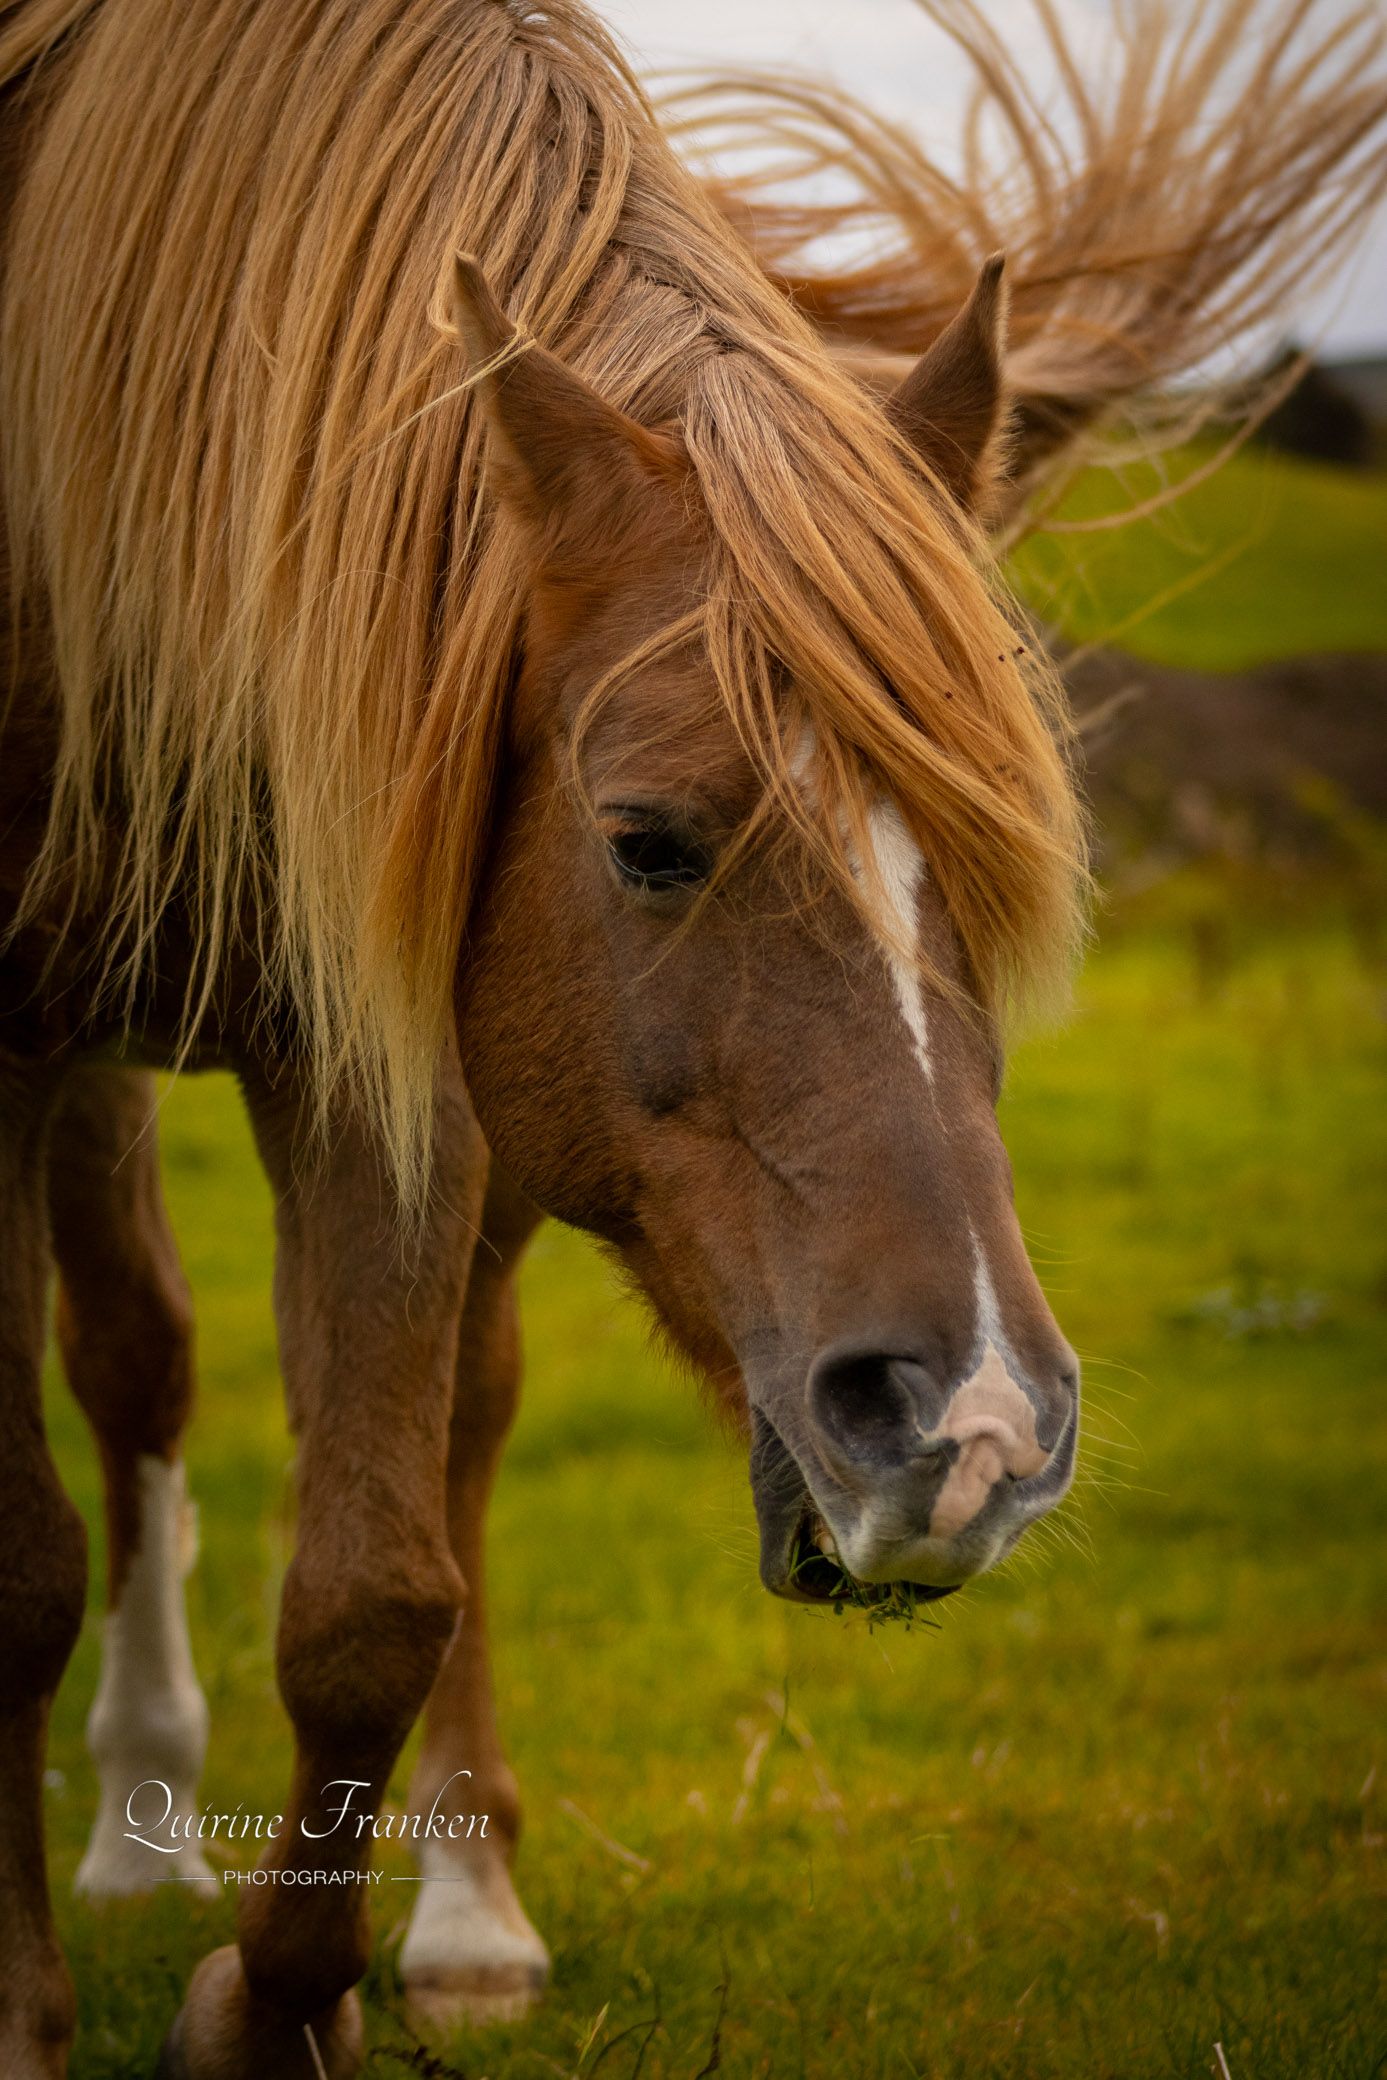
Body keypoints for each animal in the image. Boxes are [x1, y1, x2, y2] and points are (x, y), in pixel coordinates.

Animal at [0, 0, 1382, 2072]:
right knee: (137, 1362)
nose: (971, 1429)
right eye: (646, 839)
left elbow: (371, 1594)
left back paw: (452, 1911)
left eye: (987, 866)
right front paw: (27, 2008)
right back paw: (137, 1817)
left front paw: (273, 2011)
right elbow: (18, 1563)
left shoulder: (378, 1051)